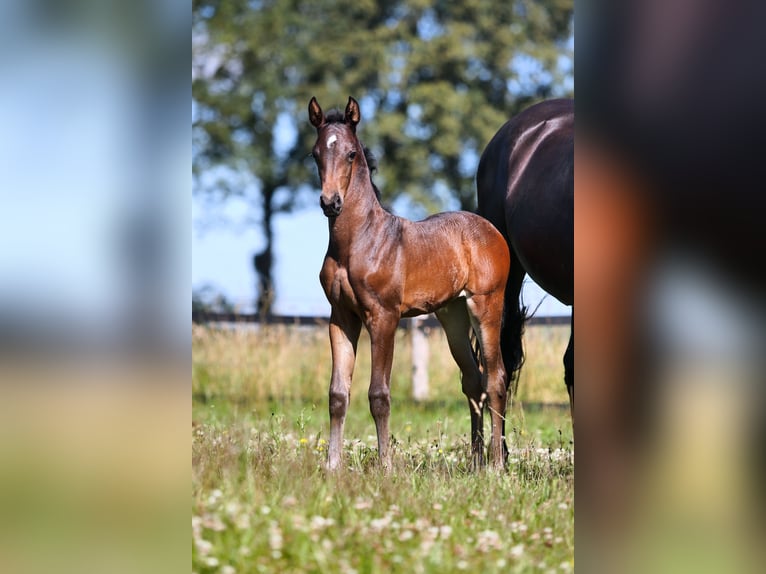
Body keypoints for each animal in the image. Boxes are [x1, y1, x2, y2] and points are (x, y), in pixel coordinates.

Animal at [308, 95, 512, 472]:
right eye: (315, 154)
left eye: (351, 154)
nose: (331, 203)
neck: (359, 241)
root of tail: (490, 230)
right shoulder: (341, 317)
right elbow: (337, 394)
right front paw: (332, 466)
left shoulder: (383, 317)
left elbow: (378, 394)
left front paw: (386, 466)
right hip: (453, 315)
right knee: (473, 380)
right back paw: (475, 462)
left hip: (485, 305)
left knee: (496, 379)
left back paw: (495, 465)